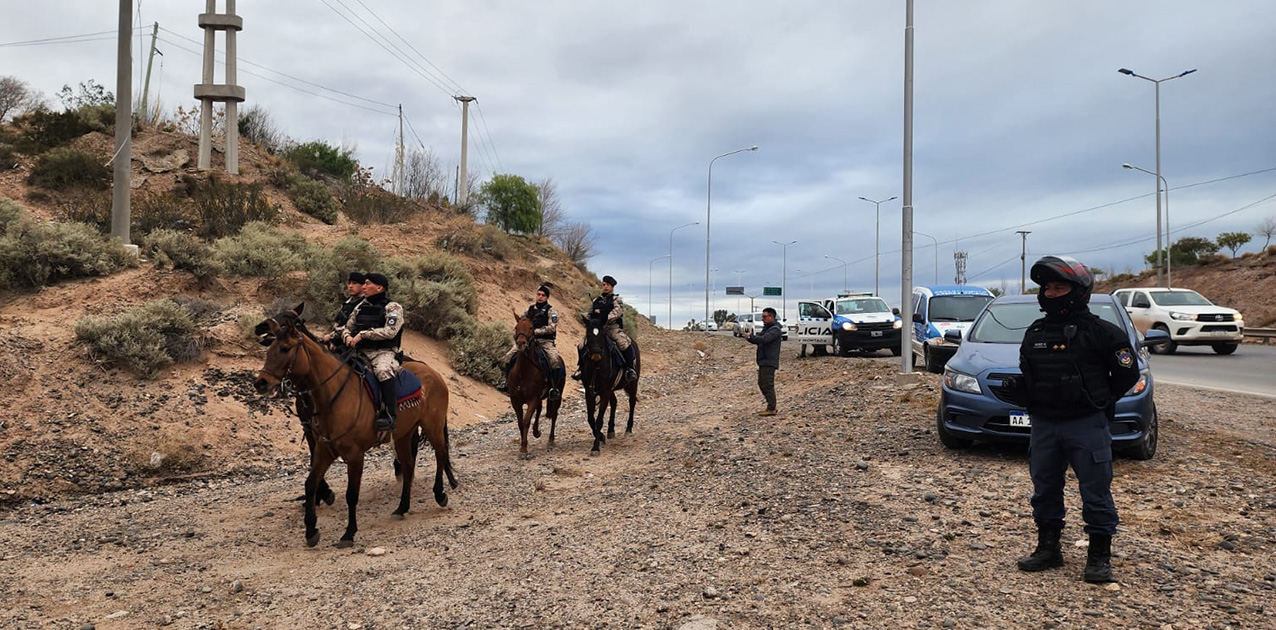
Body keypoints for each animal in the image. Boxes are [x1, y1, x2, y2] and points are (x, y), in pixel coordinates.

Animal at [251, 303, 456, 545]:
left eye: (285, 348)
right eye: (270, 350)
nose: (261, 382)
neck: (331, 397)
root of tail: (433, 372)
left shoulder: (355, 455)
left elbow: (352, 494)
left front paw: (348, 533)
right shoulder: (323, 448)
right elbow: (310, 483)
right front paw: (311, 529)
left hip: (433, 426)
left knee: (440, 455)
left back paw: (440, 494)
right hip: (404, 434)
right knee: (408, 465)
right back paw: (402, 507)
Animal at [505, 309, 561, 456]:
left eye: (531, 327)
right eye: (516, 327)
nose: (521, 343)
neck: (523, 372)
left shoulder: (532, 399)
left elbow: (526, 421)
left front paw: (524, 449)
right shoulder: (516, 400)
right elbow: (520, 422)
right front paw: (523, 445)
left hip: (556, 397)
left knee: (554, 415)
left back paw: (550, 441)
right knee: (540, 409)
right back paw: (536, 432)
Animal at [579, 317, 638, 454]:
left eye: (601, 335)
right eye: (588, 335)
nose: (596, 355)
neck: (596, 367)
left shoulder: (605, 392)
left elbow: (599, 420)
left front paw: (595, 447)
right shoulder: (589, 392)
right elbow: (590, 419)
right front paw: (600, 436)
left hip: (633, 384)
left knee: (632, 402)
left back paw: (628, 429)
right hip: (611, 389)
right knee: (615, 403)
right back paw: (611, 430)